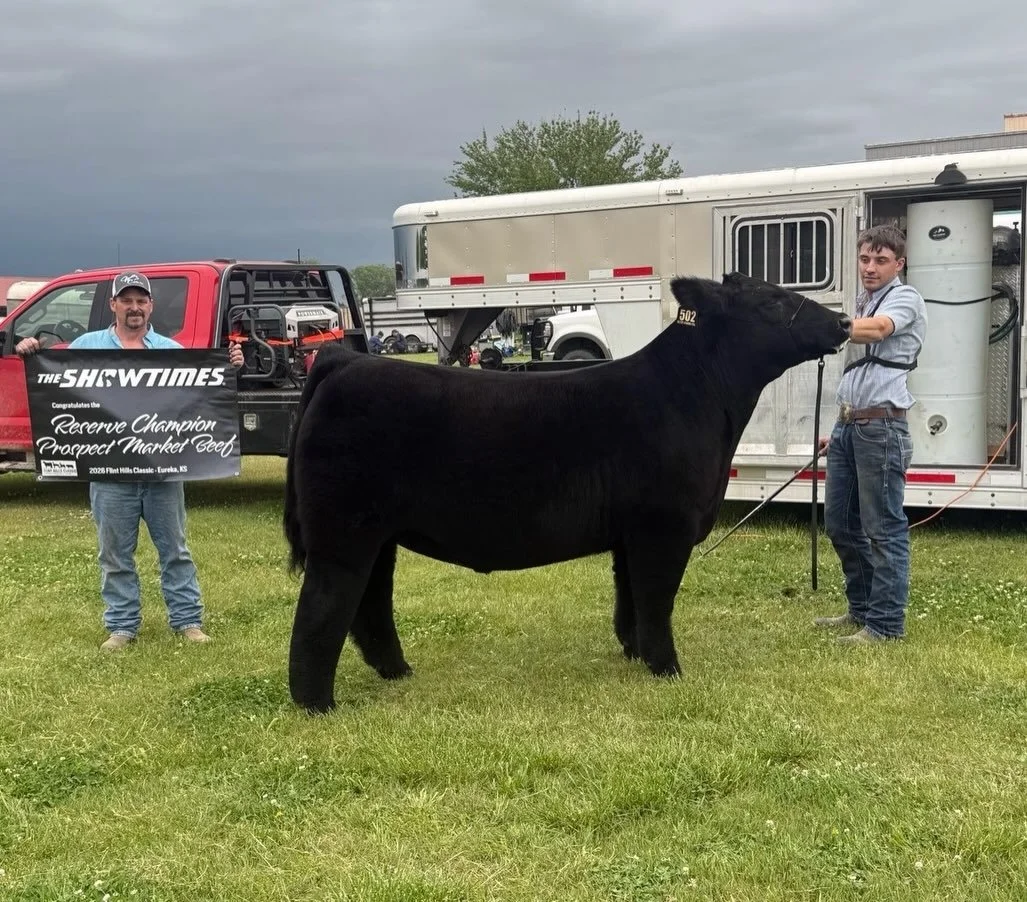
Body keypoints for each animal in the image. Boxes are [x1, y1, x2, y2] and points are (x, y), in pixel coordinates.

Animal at [283, 273, 852, 712]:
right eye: (771, 301)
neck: (696, 395)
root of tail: (345, 363)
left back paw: (397, 671)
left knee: (370, 603)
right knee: (322, 608)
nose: (844, 323)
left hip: (378, 535)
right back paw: (317, 704)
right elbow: (657, 598)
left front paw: (635, 653)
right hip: (343, 533)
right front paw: (667, 667)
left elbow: (630, 599)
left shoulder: (629, 534)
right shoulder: (663, 527)